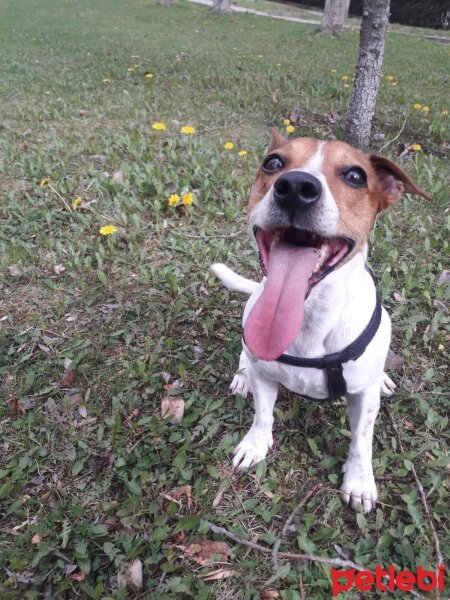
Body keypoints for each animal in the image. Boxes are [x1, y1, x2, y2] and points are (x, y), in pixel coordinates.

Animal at [211, 130, 428, 510]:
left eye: (355, 176)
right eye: (273, 163)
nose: (295, 187)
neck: (309, 316)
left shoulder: (363, 399)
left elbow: (361, 440)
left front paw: (359, 481)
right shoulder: (264, 375)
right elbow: (262, 414)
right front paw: (255, 444)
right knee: (244, 357)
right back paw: (241, 376)